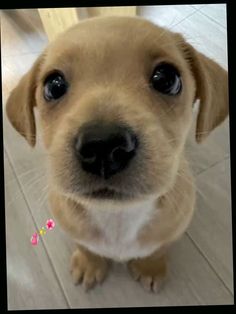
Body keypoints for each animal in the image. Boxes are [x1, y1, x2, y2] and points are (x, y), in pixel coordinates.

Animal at [6, 16, 229, 292]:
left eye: (166, 78)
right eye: (53, 86)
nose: (102, 145)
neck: (117, 216)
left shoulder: (172, 230)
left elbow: (157, 250)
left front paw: (150, 267)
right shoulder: (72, 227)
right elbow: (86, 247)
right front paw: (89, 264)